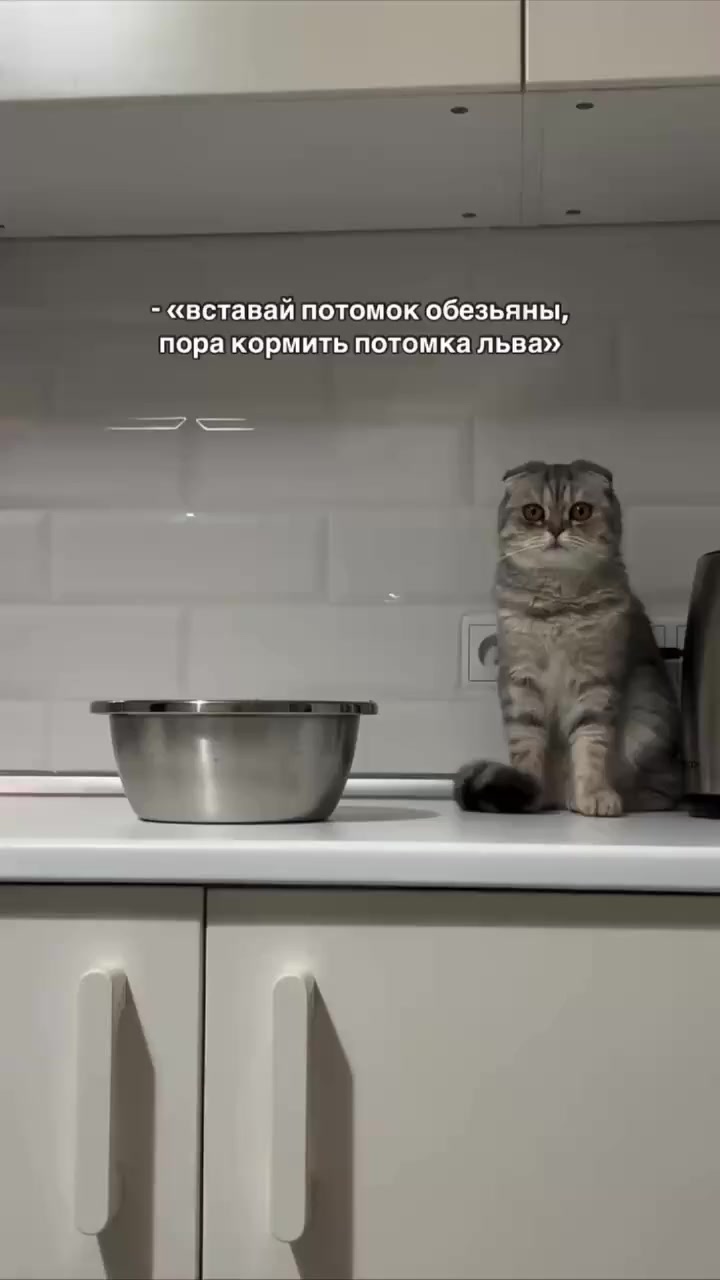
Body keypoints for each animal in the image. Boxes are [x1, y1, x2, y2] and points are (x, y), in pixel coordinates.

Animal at [455, 459, 684, 817]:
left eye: (580, 510)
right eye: (534, 512)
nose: (555, 529)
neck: (557, 605)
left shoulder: (596, 682)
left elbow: (591, 744)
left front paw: (595, 795)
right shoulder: (521, 681)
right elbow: (526, 744)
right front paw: (526, 790)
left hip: (649, 718)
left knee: (661, 793)